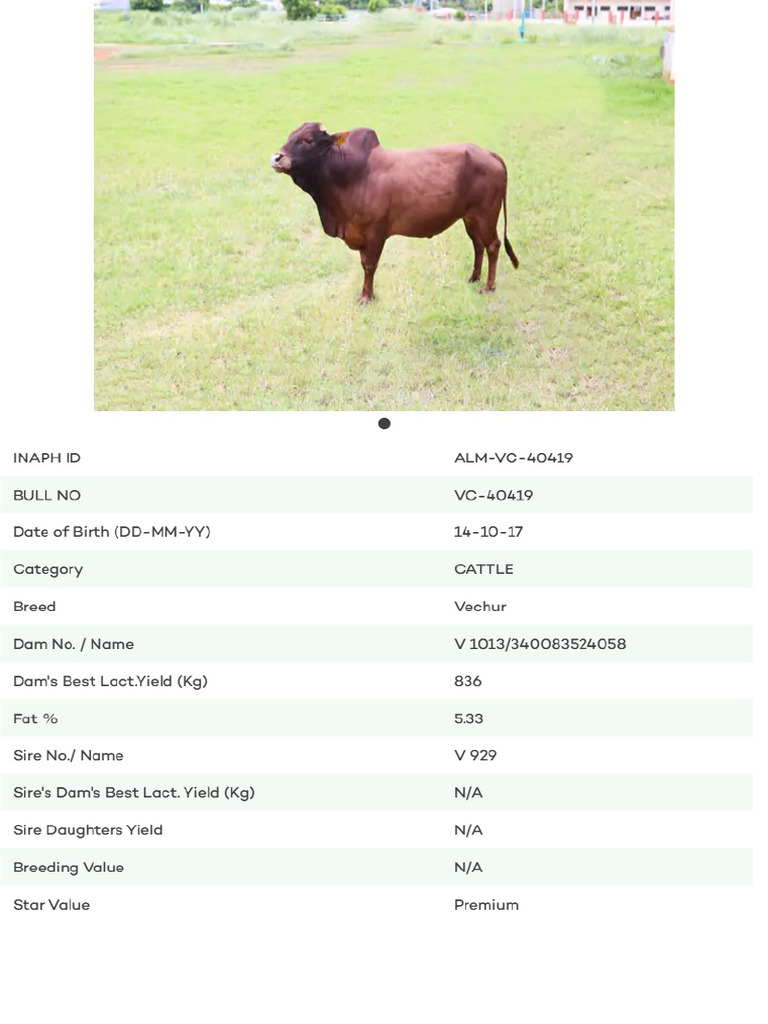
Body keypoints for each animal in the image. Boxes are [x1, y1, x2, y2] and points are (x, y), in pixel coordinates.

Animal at [270, 122, 519, 304]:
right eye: (290, 135)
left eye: (308, 140)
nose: (276, 157)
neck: (348, 175)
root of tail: (490, 154)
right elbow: (364, 264)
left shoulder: (375, 233)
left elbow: (370, 265)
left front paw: (366, 297)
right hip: (470, 218)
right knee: (477, 244)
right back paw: (474, 277)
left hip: (486, 215)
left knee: (493, 245)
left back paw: (488, 286)